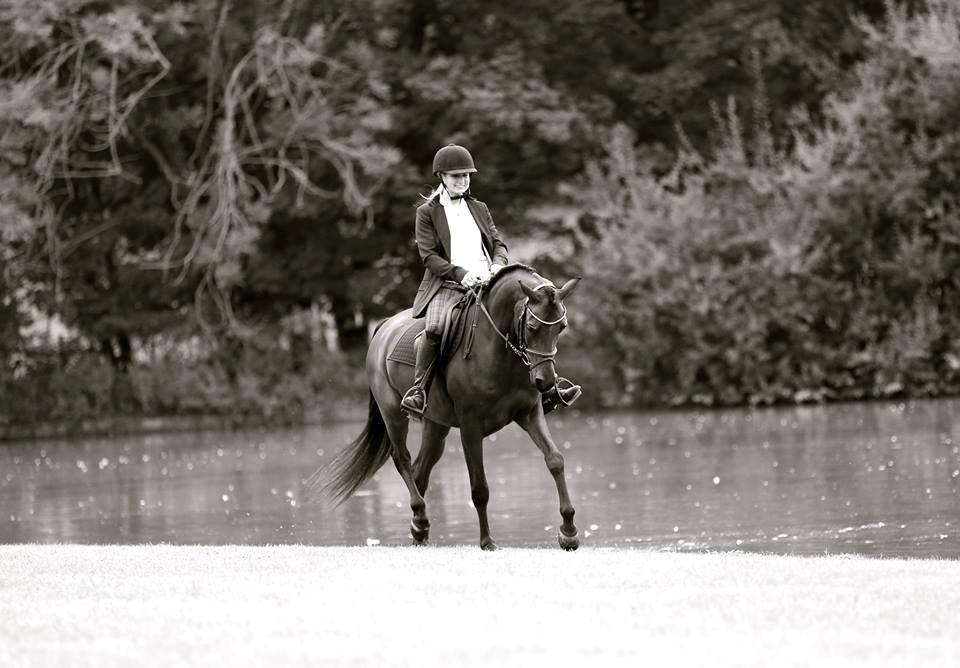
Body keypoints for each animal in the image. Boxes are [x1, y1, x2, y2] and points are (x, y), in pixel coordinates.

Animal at [308, 264, 576, 552]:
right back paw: (420, 518)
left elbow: (555, 460)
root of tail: (384, 328)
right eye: (532, 327)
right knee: (403, 460)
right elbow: (479, 488)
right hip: (393, 415)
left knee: (420, 470)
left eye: (562, 327)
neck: (497, 349)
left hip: (437, 426)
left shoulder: (529, 414)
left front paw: (568, 531)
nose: (544, 381)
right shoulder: (470, 426)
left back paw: (419, 527)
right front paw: (487, 541)